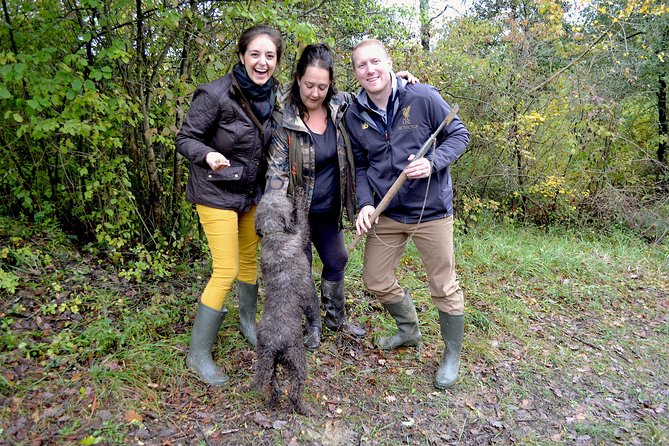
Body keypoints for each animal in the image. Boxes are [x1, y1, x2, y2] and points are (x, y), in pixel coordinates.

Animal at [252, 188, 318, 414]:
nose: (274, 190)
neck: (274, 233)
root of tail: (273, 346)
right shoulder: (301, 234)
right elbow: (303, 218)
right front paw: (300, 195)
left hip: (270, 367)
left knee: (276, 388)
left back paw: (272, 403)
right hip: (297, 361)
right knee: (295, 391)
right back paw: (304, 408)